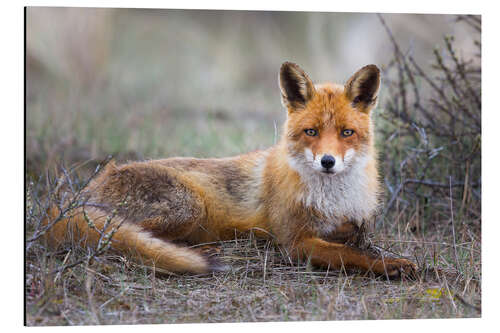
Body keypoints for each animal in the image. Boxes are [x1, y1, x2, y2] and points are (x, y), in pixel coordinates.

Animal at [44, 61, 418, 278]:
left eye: (346, 133)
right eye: (311, 132)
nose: (328, 162)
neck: (333, 197)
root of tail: (77, 196)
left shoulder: (349, 220)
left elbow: (355, 232)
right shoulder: (295, 242)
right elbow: (352, 255)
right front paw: (392, 265)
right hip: (189, 206)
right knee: (122, 240)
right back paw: (201, 250)